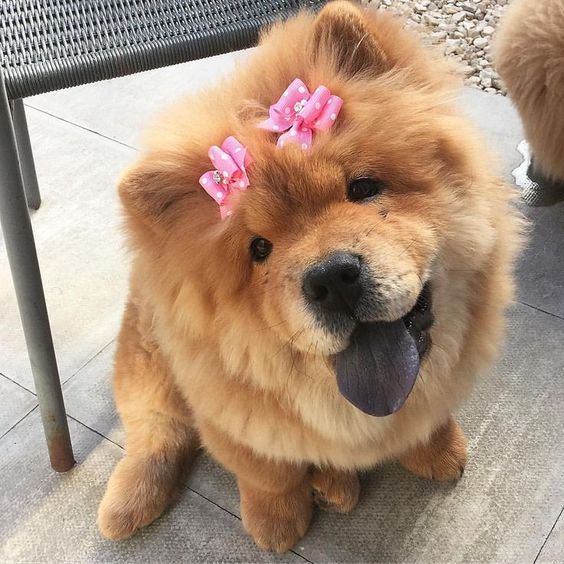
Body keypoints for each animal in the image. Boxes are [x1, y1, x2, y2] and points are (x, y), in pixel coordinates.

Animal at [99, 2, 524, 552]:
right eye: (259, 249)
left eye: (362, 188)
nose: (332, 279)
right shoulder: (229, 416)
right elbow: (268, 472)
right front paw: (275, 522)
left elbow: (429, 421)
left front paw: (439, 451)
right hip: (147, 364)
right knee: (155, 431)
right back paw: (128, 504)